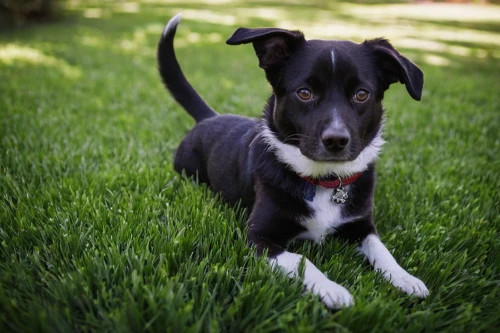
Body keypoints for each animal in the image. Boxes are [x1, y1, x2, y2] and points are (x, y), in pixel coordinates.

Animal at [158, 13, 428, 308]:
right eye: (304, 92)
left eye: (361, 94)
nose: (336, 140)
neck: (324, 180)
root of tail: (209, 117)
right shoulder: (260, 238)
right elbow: (302, 260)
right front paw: (332, 290)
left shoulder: (362, 226)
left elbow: (381, 249)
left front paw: (406, 279)